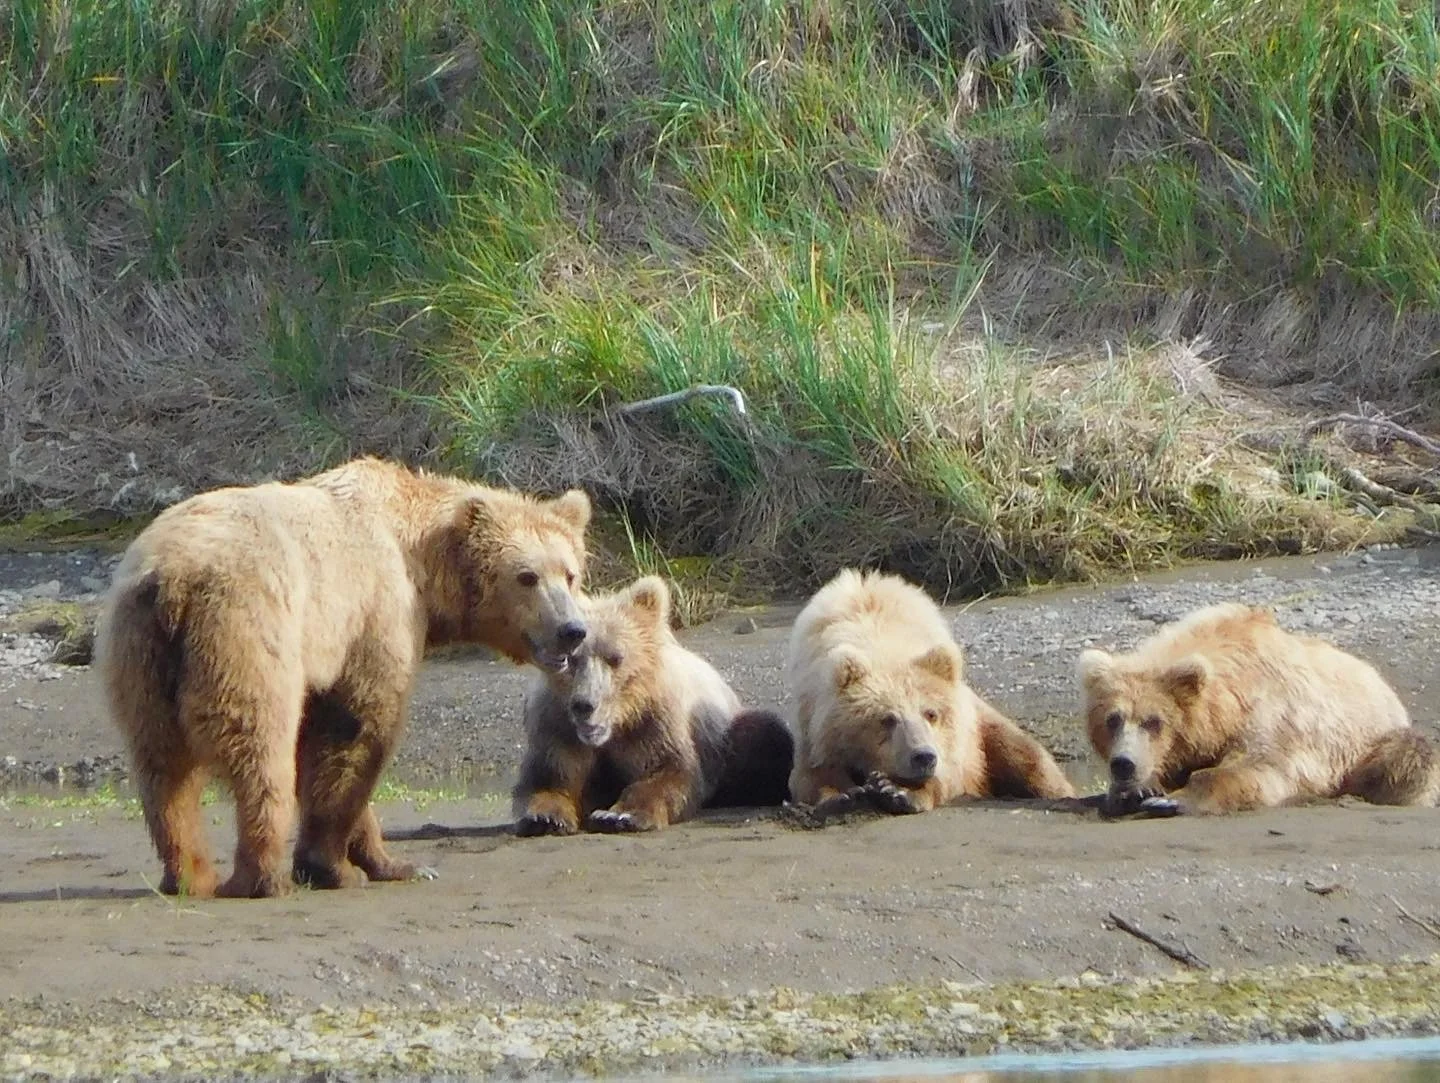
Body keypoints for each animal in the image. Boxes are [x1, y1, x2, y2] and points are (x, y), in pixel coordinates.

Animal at [95, 456, 593, 899]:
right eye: (526, 576)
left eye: (569, 574)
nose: (572, 631)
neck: (421, 560)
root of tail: (172, 578)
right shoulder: (373, 612)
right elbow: (356, 728)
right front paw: (336, 866)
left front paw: (393, 863)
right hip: (244, 627)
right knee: (260, 748)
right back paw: (262, 878)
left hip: (139, 650)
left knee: (162, 767)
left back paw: (189, 875)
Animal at [511, 575, 793, 835]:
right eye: (571, 659)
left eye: (615, 658)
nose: (585, 705)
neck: (617, 726)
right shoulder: (558, 728)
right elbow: (550, 778)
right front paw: (545, 817)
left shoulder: (654, 723)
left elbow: (667, 772)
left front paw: (618, 815)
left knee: (765, 733)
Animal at [785, 567, 1076, 816]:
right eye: (887, 719)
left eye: (931, 713)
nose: (923, 756)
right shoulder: (811, 720)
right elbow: (811, 774)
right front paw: (842, 795)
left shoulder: (957, 741)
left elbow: (949, 772)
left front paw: (899, 792)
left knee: (1026, 757)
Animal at [1078, 601, 1440, 816]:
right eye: (1113, 719)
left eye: (1154, 721)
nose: (1124, 764)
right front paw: (1139, 790)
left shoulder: (1276, 714)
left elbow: (1261, 764)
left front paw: (1172, 797)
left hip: (1372, 740)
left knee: (1409, 757)